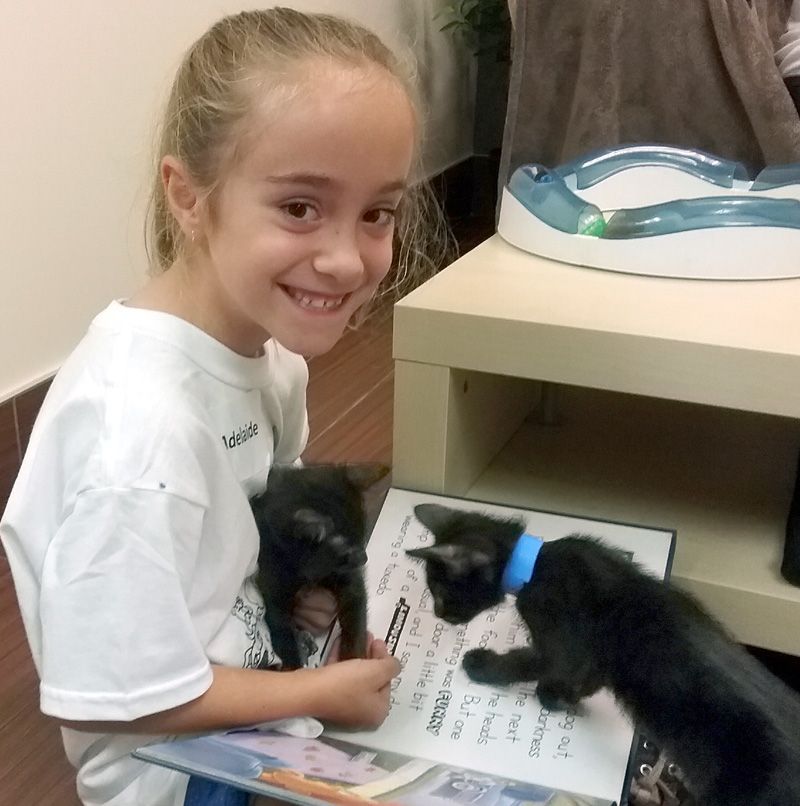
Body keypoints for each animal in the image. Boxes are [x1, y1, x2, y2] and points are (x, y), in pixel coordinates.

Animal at [250, 464, 388, 672]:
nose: (364, 558)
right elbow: (281, 627)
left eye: (362, 538)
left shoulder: (349, 582)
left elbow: (356, 615)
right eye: (346, 553)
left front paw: (353, 661)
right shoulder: (272, 583)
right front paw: (295, 667)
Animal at [406, 504, 800, 806]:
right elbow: (583, 678)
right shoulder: (592, 659)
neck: (536, 565)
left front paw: (484, 666)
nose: (439, 615)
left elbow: (531, 664)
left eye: (439, 591)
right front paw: (564, 698)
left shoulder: (561, 640)